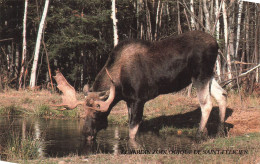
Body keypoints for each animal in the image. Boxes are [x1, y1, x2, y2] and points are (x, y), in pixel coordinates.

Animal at [53, 31, 226, 141]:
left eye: (97, 113)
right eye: (84, 112)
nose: (86, 133)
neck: (119, 84)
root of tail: (216, 44)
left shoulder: (138, 99)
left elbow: (132, 130)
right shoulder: (129, 100)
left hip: (199, 75)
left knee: (206, 104)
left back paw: (199, 134)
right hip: (209, 74)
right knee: (222, 95)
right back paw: (220, 131)